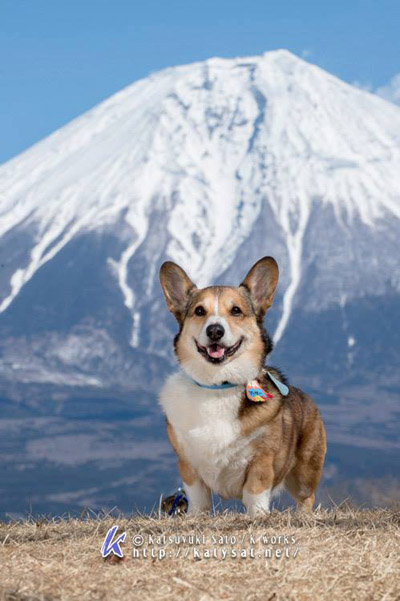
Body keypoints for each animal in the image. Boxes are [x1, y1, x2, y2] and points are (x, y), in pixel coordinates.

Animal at [158, 255, 326, 512]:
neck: (219, 385)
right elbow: (198, 500)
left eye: (236, 310)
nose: (215, 330)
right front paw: (195, 516)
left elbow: (255, 492)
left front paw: (257, 515)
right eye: (199, 311)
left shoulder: (262, 461)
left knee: (307, 498)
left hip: (305, 473)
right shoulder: (188, 464)